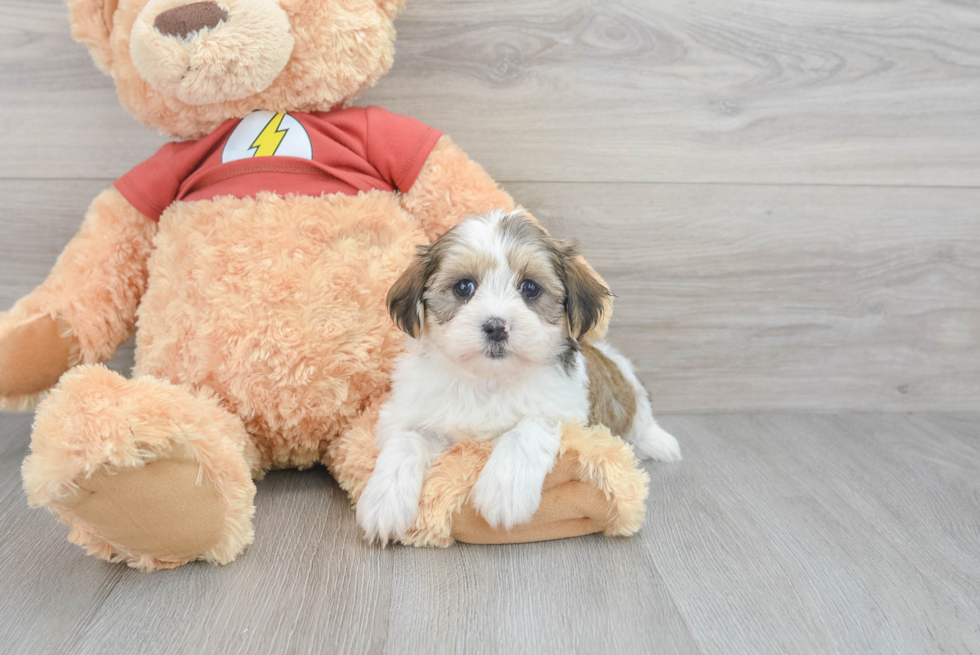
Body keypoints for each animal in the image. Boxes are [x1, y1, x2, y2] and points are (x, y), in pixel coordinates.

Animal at [356, 210, 676, 544]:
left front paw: (504, 489)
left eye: (530, 288)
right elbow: (406, 439)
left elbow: (528, 427)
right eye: (464, 287)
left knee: (641, 422)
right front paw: (384, 500)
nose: (496, 326)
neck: (489, 380)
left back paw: (659, 442)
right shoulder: (411, 412)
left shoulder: (565, 411)